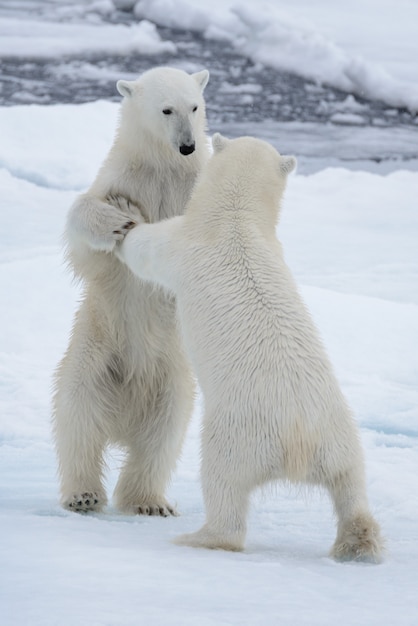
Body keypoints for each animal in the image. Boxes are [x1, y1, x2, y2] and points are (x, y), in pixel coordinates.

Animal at [52, 66, 209, 516]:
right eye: (166, 109)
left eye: (195, 106)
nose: (188, 146)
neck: (163, 167)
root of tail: (124, 418)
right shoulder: (120, 177)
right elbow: (88, 241)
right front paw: (120, 218)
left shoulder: (191, 186)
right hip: (94, 354)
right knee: (78, 419)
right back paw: (84, 494)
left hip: (173, 376)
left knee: (163, 434)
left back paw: (149, 501)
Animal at [116, 133, 384, 560]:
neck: (236, 219)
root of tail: (299, 438)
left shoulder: (183, 243)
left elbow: (148, 251)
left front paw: (125, 222)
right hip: (340, 433)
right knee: (351, 482)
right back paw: (357, 540)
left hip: (240, 433)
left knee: (222, 483)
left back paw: (199, 536)